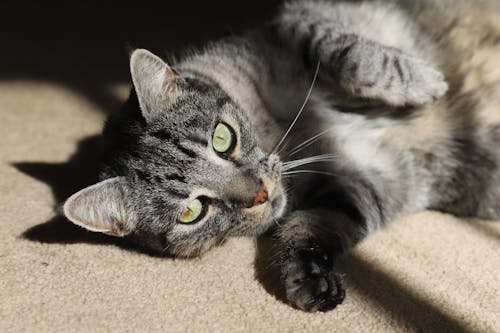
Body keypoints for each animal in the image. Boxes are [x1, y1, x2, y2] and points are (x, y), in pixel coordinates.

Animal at [61, 0, 500, 312]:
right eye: (192, 211)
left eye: (222, 138)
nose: (258, 193)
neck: (288, 136)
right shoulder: (365, 182)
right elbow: (310, 226)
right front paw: (310, 277)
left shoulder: (295, 24)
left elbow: (345, 52)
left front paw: (424, 82)